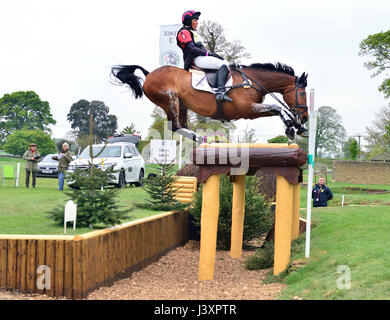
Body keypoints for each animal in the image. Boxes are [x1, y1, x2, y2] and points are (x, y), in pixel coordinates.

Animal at [111, 62, 310, 142]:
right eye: (302, 93)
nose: (305, 117)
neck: (253, 81)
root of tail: (148, 74)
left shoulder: (252, 112)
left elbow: (277, 110)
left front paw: (298, 127)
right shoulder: (247, 109)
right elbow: (277, 107)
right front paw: (292, 127)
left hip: (182, 105)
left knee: (181, 126)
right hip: (170, 99)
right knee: (175, 126)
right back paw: (202, 139)